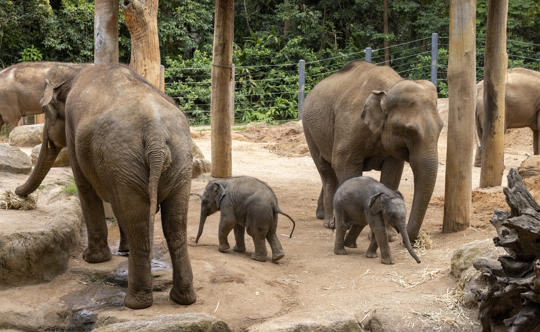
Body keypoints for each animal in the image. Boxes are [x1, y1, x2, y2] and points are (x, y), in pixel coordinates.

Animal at [15, 64, 198, 308]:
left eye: (46, 112)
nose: (19, 195)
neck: (72, 70)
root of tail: (156, 134)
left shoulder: (74, 132)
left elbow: (85, 188)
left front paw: (92, 259)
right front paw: (122, 250)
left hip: (126, 159)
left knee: (138, 221)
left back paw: (135, 302)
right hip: (178, 161)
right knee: (175, 226)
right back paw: (182, 299)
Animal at [304, 60, 442, 241]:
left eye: (441, 127)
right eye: (408, 131)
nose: (415, 238)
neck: (390, 86)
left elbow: (392, 173)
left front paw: (387, 235)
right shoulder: (350, 125)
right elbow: (344, 163)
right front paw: (353, 225)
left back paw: (321, 215)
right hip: (309, 130)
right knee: (326, 171)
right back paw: (330, 223)